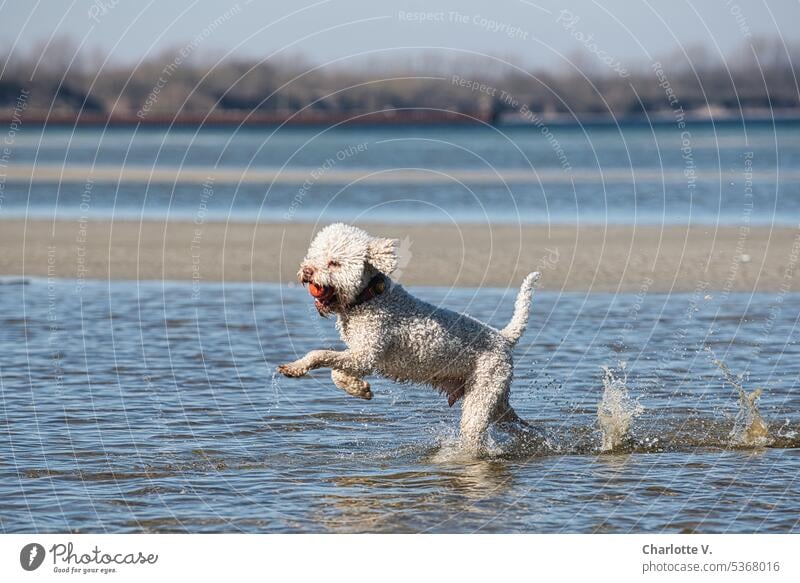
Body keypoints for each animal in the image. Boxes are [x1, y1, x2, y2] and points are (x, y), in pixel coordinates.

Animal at [278, 226, 540, 450]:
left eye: (334, 263)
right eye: (313, 256)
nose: (307, 271)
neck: (369, 297)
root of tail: (503, 337)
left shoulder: (366, 354)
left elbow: (321, 355)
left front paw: (296, 367)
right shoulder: (359, 354)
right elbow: (336, 373)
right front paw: (359, 388)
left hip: (482, 397)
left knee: (477, 430)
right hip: (495, 402)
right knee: (522, 426)